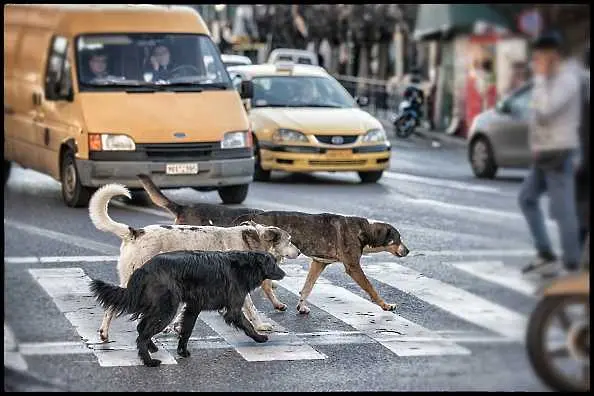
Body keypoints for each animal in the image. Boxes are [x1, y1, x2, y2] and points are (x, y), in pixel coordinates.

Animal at [89, 184, 300, 342]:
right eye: (289, 240)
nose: (299, 252)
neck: (251, 242)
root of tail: (135, 232)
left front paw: (175, 326)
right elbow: (252, 310)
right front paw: (261, 326)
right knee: (113, 306)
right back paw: (106, 333)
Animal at [89, 249, 286, 366]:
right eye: (273, 263)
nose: (284, 273)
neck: (245, 265)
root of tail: (143, 268)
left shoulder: (193, 307)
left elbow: (186, 331)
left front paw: (182, 351)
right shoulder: (234, 309)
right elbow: (248, 325)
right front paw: (260, 337)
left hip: (159, 308)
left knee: (141, 328)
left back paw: (152, 348)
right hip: (166, 310)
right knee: (142, 334)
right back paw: (149, 361)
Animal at [138, 173, 408, 316]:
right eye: (397, 238)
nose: (407, 250)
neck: (365, 230)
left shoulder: (318, 263)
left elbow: (307, 287)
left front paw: (302, 305)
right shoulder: (353, 266)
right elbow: (371, 288)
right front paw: (385, 305)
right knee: (265, 284)